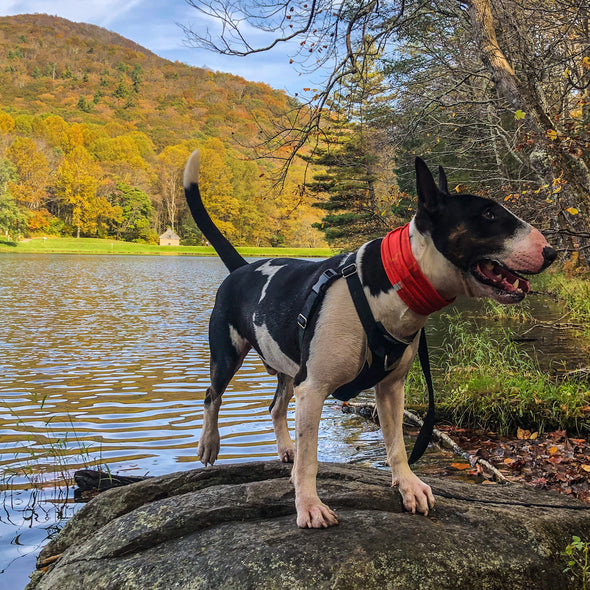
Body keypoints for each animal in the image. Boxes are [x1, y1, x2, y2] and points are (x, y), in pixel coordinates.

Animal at [183, 150, 556, 528]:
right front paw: (309, 505)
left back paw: (286, 448)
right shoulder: (313, 388)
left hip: (287, 367)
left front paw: (409, 486)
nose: (551, 252)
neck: (390, 281)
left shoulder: (390, 388)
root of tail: (242, 267)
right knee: (212, 396)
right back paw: (209, 444)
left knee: (275, 407)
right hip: (228, 354)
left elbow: (397, 445)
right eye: (489, 214)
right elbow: (310, 459)